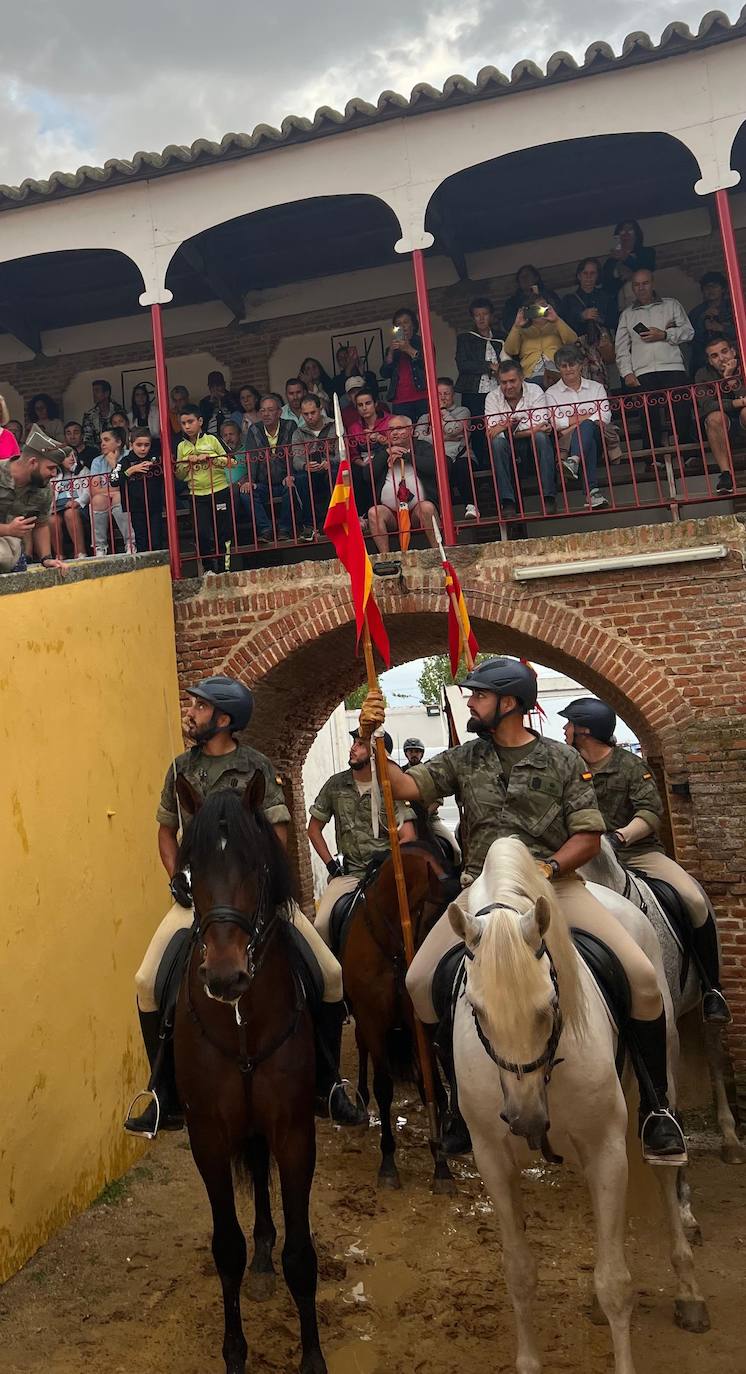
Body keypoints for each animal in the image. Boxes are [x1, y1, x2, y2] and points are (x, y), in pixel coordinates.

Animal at [175, 774, 326, 1374]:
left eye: (258, 866)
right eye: (189, 872)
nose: (224, 976)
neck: (240, 1019)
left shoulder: (293, 1129)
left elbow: (301, 1254)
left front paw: (312, 1357)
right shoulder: (208, 1137)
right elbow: (226, 1249)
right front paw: (234, 1351)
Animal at [340, 835, 458, 1192]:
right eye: (435, 924)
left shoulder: (419, 1022)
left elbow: (434, 1085)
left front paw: (441, 1164)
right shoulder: (372, 1019)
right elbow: (383, 1087)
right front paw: (388, 1162)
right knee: (364, 1052)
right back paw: (360, 1106)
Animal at [450, 835, 714, 1374]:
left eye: (551, 1004)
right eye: (477, 1011)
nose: (526, 1119)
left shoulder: (605, 1147)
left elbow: (616, 1283)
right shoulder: (492, 1158)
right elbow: (519, 1272)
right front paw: (529, 1361)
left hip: (660, 1071)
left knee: (663, 1173)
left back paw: (689, 1293)